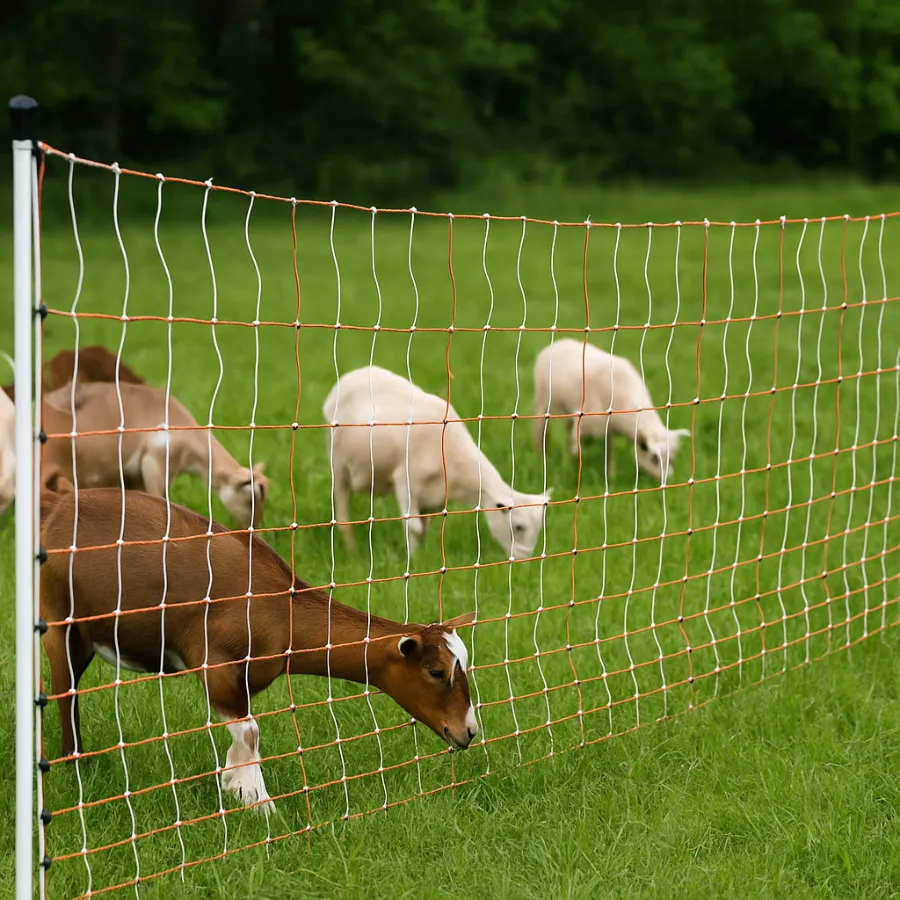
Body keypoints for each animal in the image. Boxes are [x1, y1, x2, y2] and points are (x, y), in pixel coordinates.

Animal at [41, 487, 478, 812]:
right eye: (436, 671)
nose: (469, 731)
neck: (278, 609)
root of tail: (57, 505)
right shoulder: (214, 663)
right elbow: (251, 730)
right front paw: (257, 799)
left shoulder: (246, 680)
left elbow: (245, 731)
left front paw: (234, 780)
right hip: (58, 621)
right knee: (65, 692)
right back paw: (74, 765)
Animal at [324, 365, 551, 559]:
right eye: (519, 527)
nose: (523, 560)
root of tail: (351, 376)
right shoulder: (405, 482)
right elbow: (414, 527)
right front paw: (412, 560)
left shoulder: (435, 497)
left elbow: (424, 529)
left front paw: (419, 559)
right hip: (339, 464)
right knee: (342, 511)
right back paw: (352, 551)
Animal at [533, 338, 690, 483]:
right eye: (655, 459)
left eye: (672, 459)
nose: (666, 482)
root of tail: (559, 342)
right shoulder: (587, 420)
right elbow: (575, 450)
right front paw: (573, 472)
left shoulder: (608, 426)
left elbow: (608, 452)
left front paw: (610, 476)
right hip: (542, 401)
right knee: (541, 432)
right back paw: (542, 457)